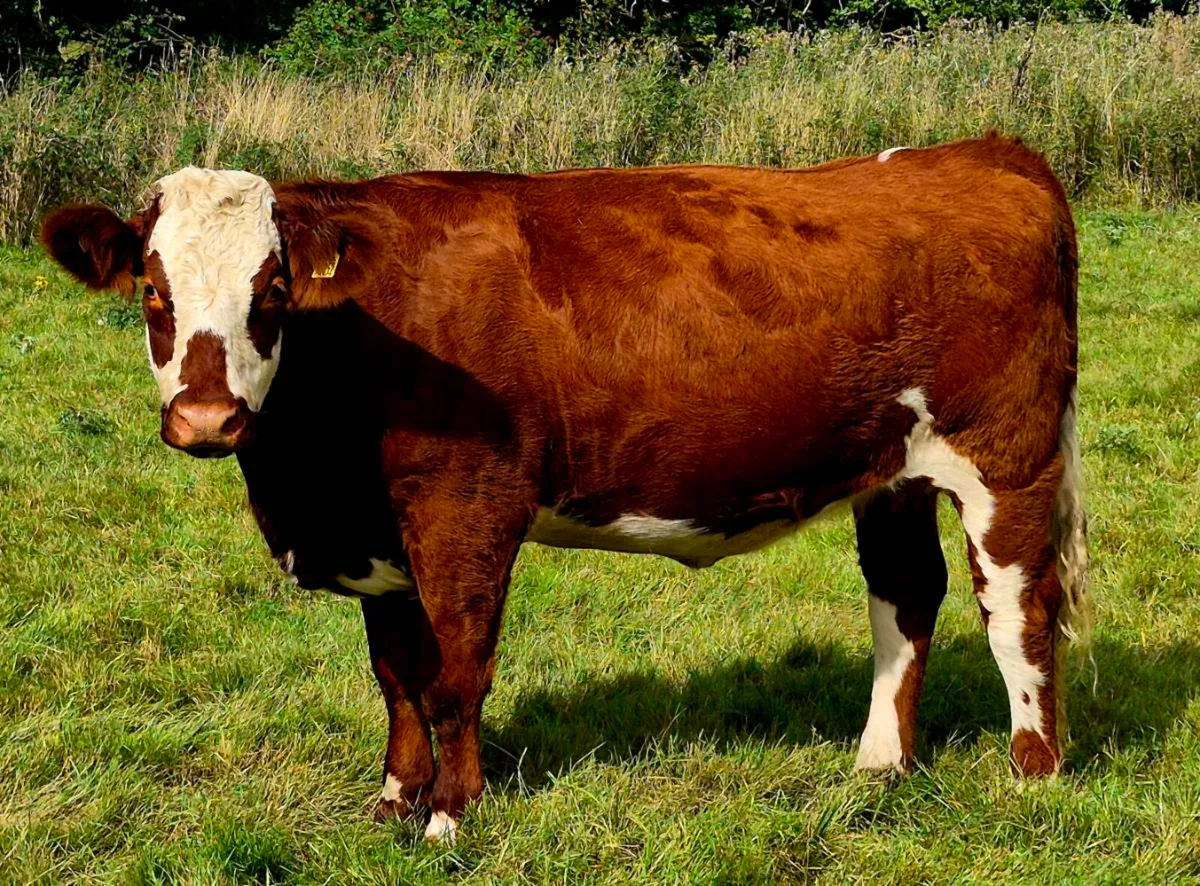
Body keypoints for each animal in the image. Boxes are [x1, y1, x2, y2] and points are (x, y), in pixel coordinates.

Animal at [41, 134, 1089, 842]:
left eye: (270, 294)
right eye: (152, 294)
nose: (207, 420)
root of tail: (985, 152)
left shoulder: (466, 507)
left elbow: (455, 674)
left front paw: (450, 816)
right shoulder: (376, 531)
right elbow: (395, 676)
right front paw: (393, 798)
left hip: (1007, 458)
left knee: (1018, 609)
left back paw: (1033, 774)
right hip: (893, 470)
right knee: (905, 598)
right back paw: (879, 766)